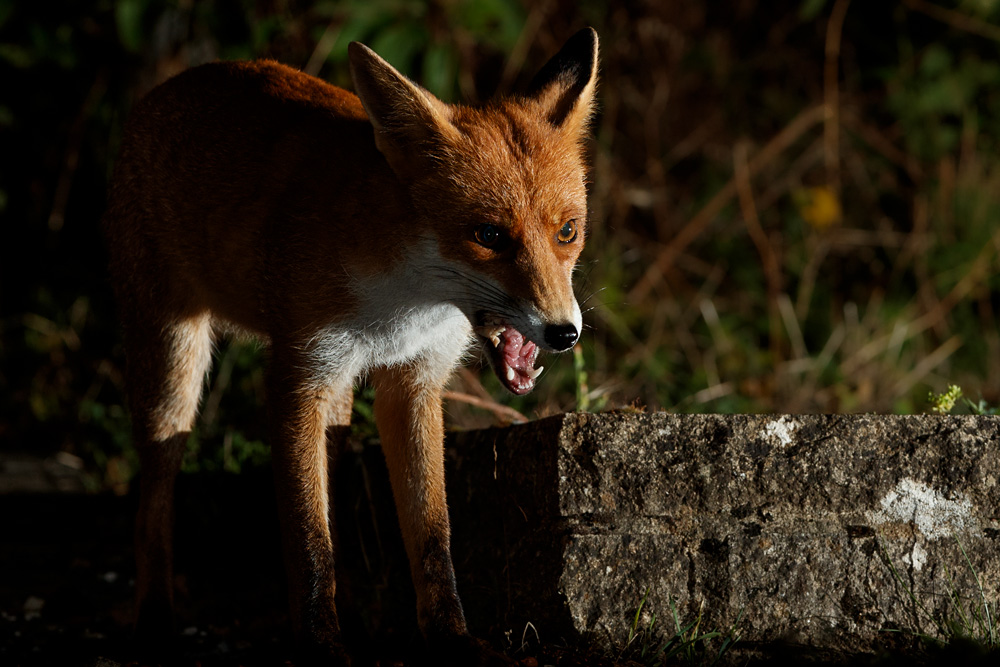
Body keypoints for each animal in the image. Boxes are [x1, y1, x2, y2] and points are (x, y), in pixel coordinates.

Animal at [103, 26, 598, 666]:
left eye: (568, 231)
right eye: (489, 235)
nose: (565, 333)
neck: (403, 305)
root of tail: (171, 85)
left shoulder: (413, 382)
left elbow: (431, 536)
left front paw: (451, 639)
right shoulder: (297, 376)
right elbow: (309, 539)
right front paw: (321, 648)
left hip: (335, 401)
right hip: (174, 375)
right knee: (154, 501)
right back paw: (156, 622)